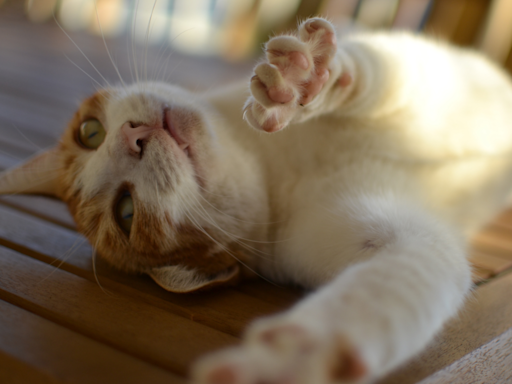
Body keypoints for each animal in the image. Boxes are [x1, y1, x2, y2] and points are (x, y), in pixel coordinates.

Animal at [1, 17, 512, 384]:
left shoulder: (410, 68)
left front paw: (305, 82)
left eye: (90, 133)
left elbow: (370, 74)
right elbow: (389, 286)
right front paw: (294, 356)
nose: (133, 138)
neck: (278, 165)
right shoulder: (394, 241)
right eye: (126, 213)